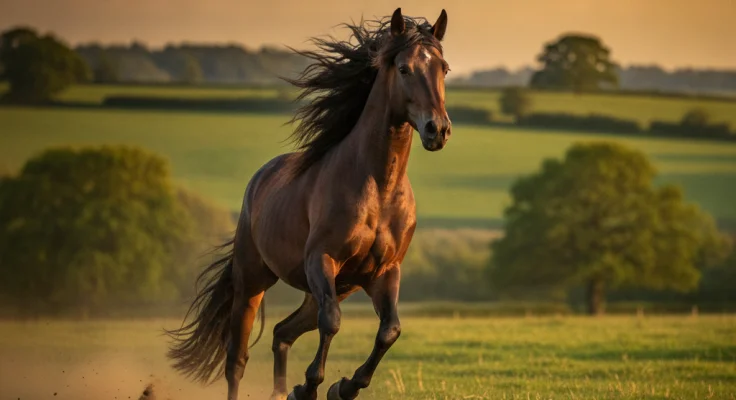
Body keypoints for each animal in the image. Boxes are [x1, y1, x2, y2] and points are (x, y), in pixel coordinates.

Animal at [166, 8, 452, 400]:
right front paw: (316, 385)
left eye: (444, 69)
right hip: (252, 280)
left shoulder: (385, 271)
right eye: (405, 68)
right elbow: (331, 323)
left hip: (331, 290)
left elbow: (389, 330)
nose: (437, 130)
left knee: (282, 332)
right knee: (237, 358)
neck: (378, 188)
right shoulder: (322, 259)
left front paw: (341, 387)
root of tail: (259, 180)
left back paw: (284, 390)